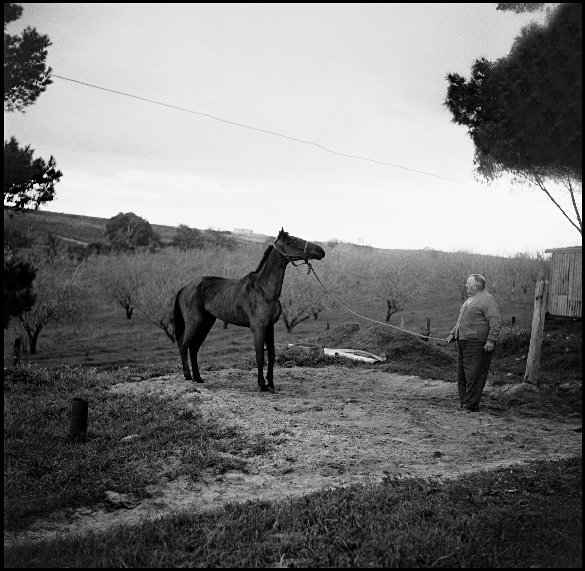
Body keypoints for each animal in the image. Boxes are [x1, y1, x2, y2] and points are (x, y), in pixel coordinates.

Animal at [173, 228, 326, 394]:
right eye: (292, 241)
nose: (320, 251)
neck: (263, 289)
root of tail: (186, 287)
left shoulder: (269, 327)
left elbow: (271, 355)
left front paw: (271, 383)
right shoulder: (258, 328)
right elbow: (260, 356)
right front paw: (262, 385)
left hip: (206, 323)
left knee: (193, 348)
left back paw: (198, 378)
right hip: (194, 322)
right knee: (183, 345)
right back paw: (188, 376)